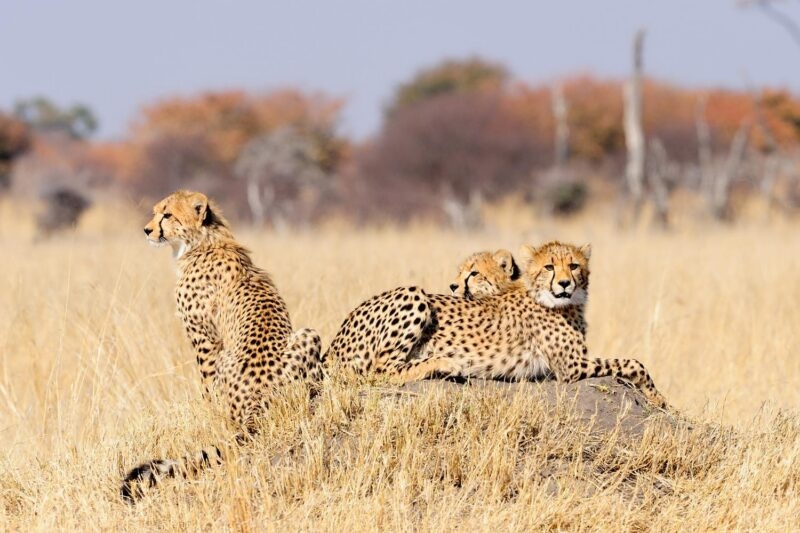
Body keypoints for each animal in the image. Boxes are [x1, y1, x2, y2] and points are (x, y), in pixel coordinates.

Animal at [120, 190, 323, 502]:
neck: (203, 241)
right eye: (156, 212)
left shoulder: (205, 338)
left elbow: (207, 388)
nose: (147, 230)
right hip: (309, 334)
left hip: (233, 355)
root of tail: (258, 403)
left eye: (167, 215)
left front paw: (209, 414)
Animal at [324, 240, 667, 408]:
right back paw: (444, 363)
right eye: (549, 267)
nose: (565, 283)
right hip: (413, 294)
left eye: (573, 265)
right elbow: (633, 362)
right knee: (380, 371)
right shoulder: (571, 367)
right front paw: (656, 396)